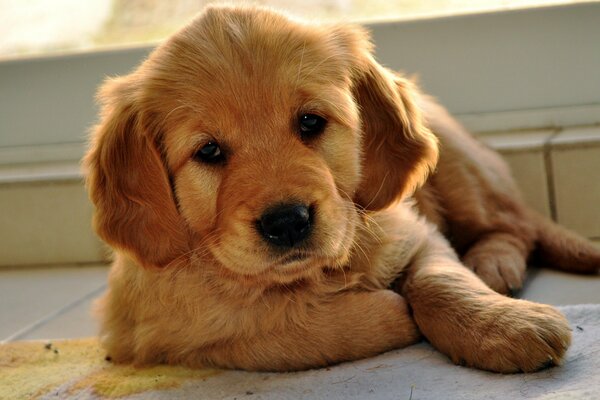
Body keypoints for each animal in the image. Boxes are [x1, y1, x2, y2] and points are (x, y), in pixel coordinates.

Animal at [85, 5, 600, 376]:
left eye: (311, 122)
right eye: (208, 150)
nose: (287, 222)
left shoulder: (415, 232)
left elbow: (441, 280)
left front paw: (505, 327)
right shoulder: (159, 330)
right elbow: (278, 327)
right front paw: (391, 312)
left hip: (458, 165)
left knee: (513, 224)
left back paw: (493, 264)